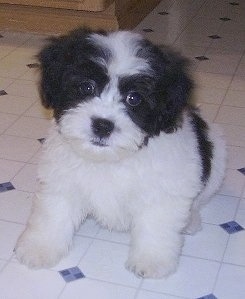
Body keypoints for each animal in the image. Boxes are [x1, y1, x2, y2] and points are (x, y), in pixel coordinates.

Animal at [14, 28, 226, 278]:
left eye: (134, 98)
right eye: (87, 87)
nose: (102, 125)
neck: (111, 159)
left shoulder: (164, 190)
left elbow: (157, 223)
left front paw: (151, 260)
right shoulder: (62, 179)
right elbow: (53, 212)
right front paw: (39, 248)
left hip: (216, 162)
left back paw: (190, 221)